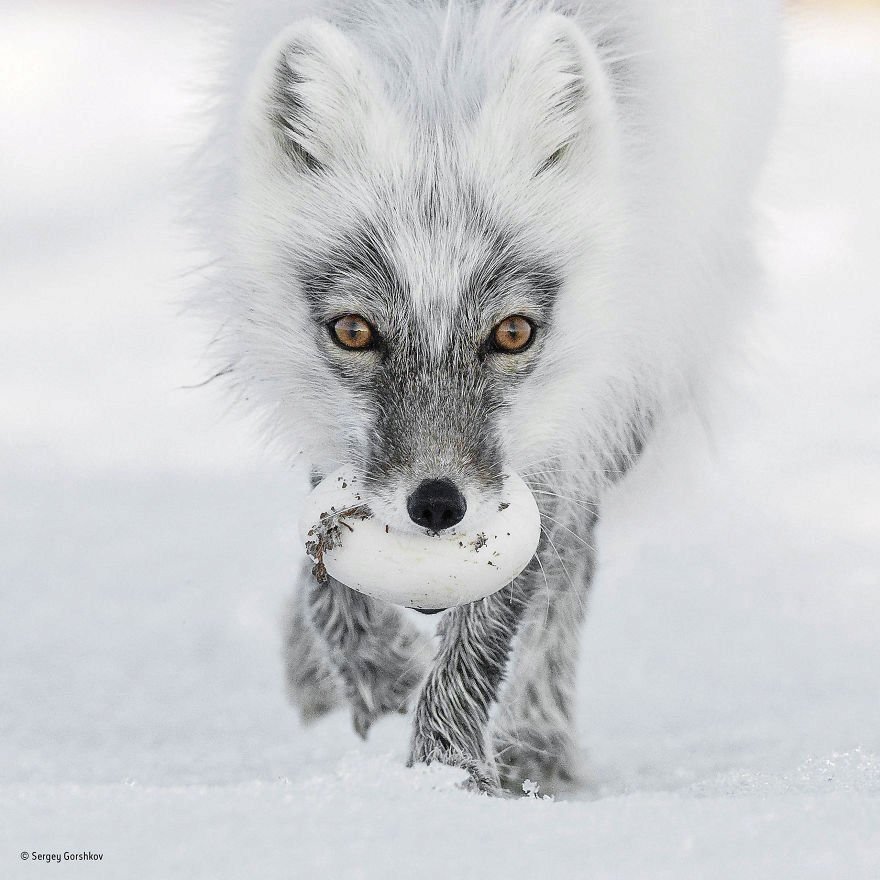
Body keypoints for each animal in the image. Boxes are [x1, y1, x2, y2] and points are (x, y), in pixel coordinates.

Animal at [196, 0, 780, 796]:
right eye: (354, 330)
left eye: (512, 332)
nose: (438, 505)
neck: (444, 60)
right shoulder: (329, 425)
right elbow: (327, 567)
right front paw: (378, 672)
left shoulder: (558, 434)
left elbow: (496, 620)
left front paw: (447, 778)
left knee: (571, 567)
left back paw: (537, 743)